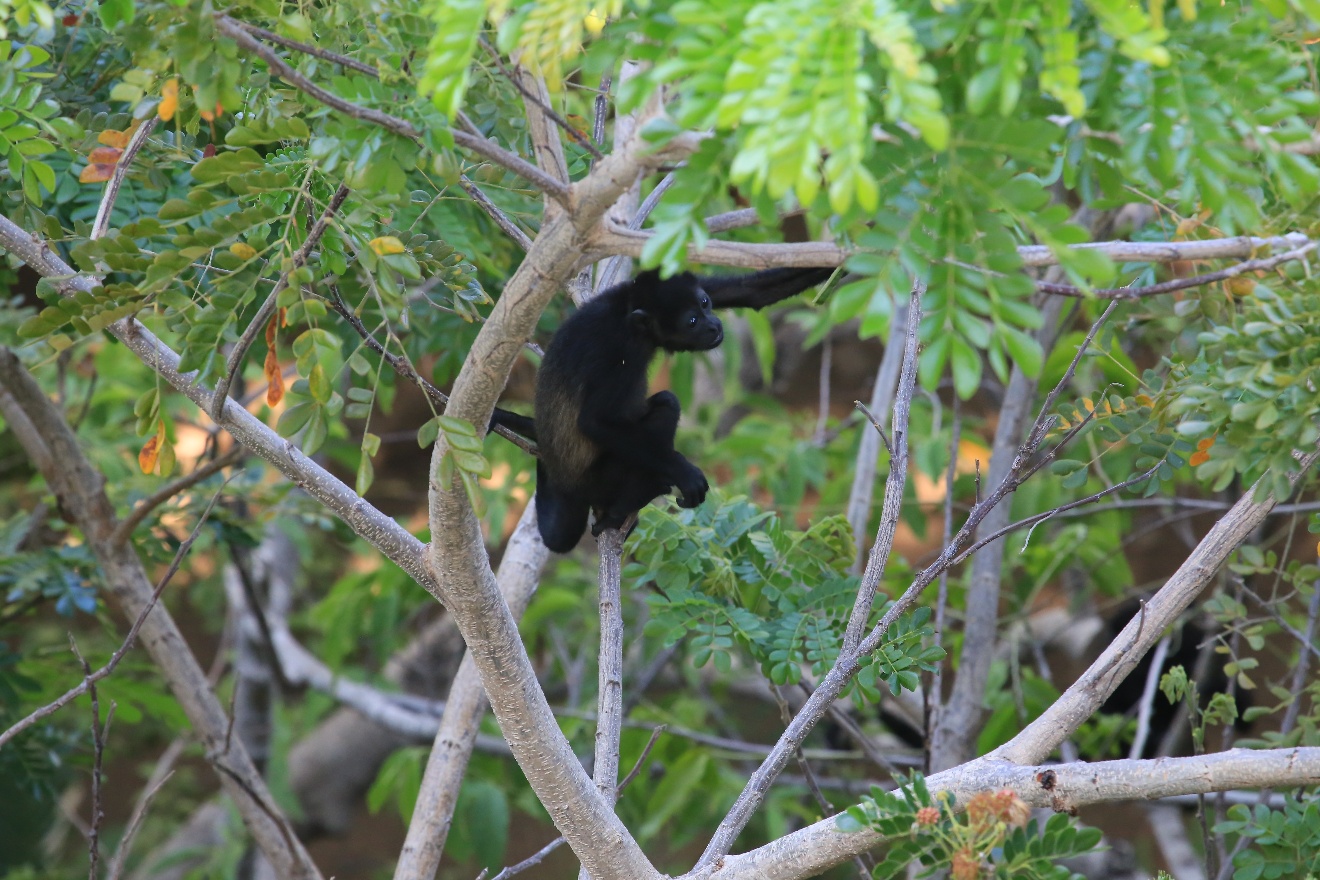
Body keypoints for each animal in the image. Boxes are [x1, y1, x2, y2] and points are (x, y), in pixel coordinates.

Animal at [491, 267, 833, 553]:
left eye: (706, 303)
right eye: (692, 321)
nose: (714, 325)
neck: (629, 312)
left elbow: (751, 292)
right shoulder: (615, 347)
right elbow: (596, 421)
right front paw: (684, 471)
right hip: (601, 480)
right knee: (667, 404)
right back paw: (627, 504)